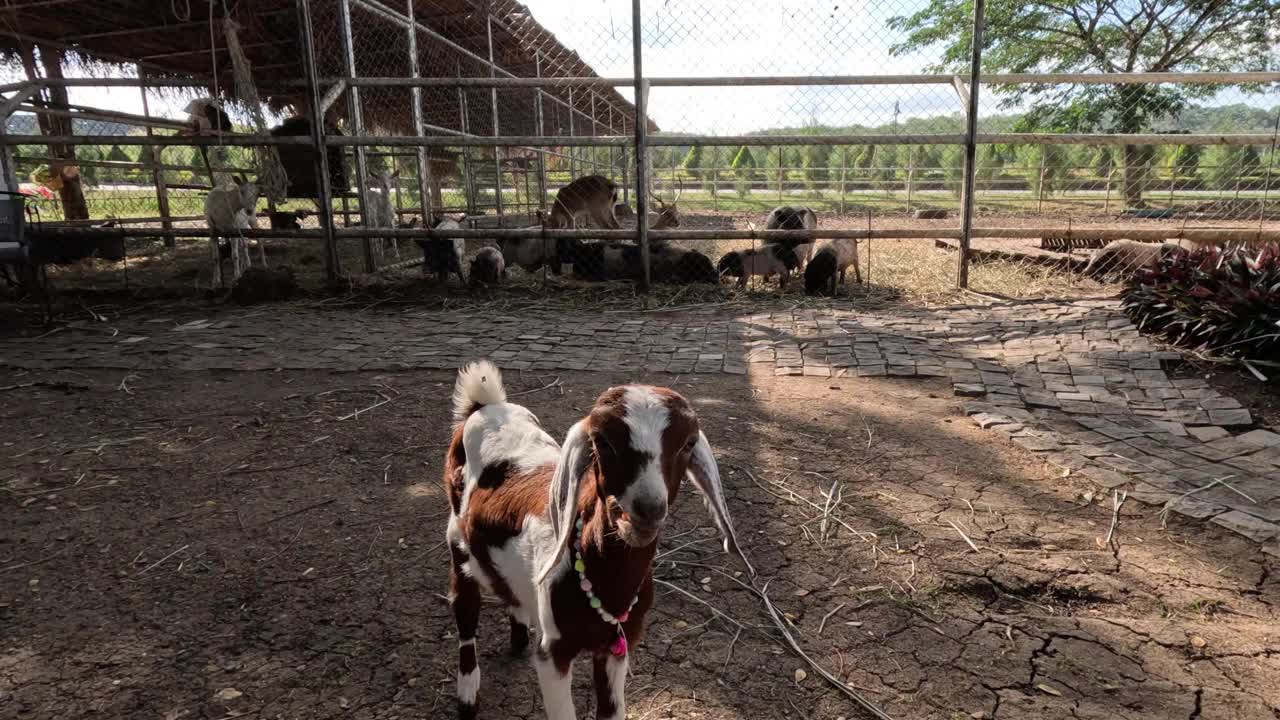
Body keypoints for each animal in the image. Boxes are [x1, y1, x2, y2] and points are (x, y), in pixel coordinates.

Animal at [448, 361, 752, 712]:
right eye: (602, 441)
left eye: (688, 443)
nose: (647, 509)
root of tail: (486, 406)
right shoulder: (553, 653)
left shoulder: (617, 647)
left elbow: (610, 709)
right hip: (457, 543)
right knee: (465, 616)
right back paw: (467, 696)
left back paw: (519, 637)